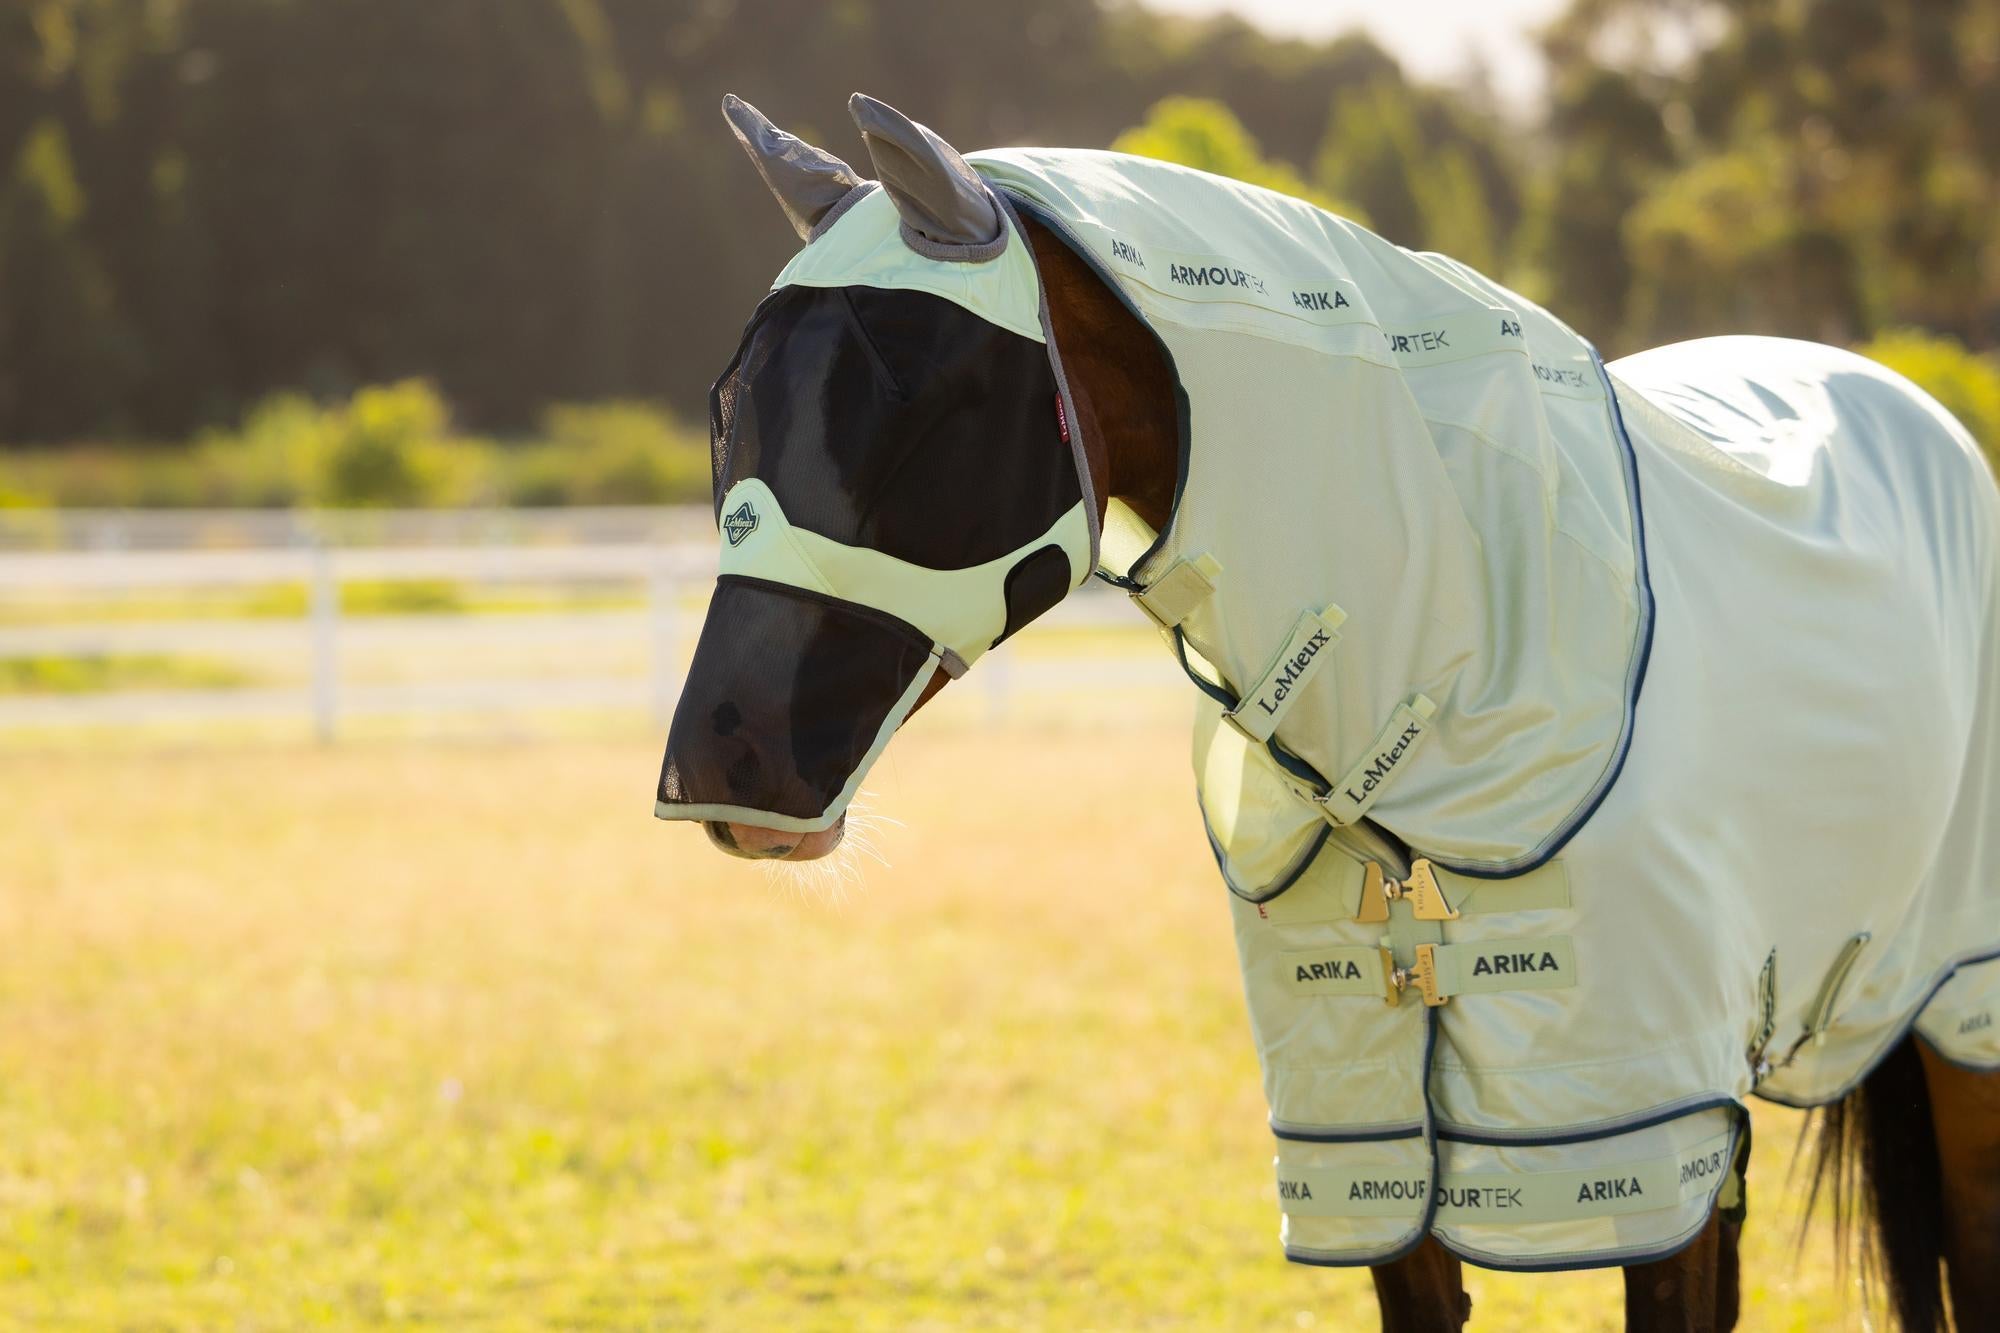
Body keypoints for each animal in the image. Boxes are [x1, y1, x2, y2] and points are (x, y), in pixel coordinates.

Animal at [654, 93, 2000, 1331]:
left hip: (1955, 1009)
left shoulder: (1634, 1124)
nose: (728, 766)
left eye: (933, 398)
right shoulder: (1366, 1140)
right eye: (730, 402)